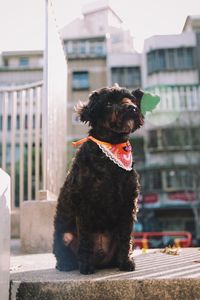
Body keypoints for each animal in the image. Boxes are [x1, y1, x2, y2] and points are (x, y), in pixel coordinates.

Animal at [52, 85, 145, 274]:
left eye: (131, 99)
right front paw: (86, 266)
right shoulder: (85, 204)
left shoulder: (128, 204)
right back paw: (67, 264)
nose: (132, 108)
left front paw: (125, 262)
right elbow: (86, 239)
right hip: (63, 235)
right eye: (108, 103)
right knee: (61, 250)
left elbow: (126, 237)